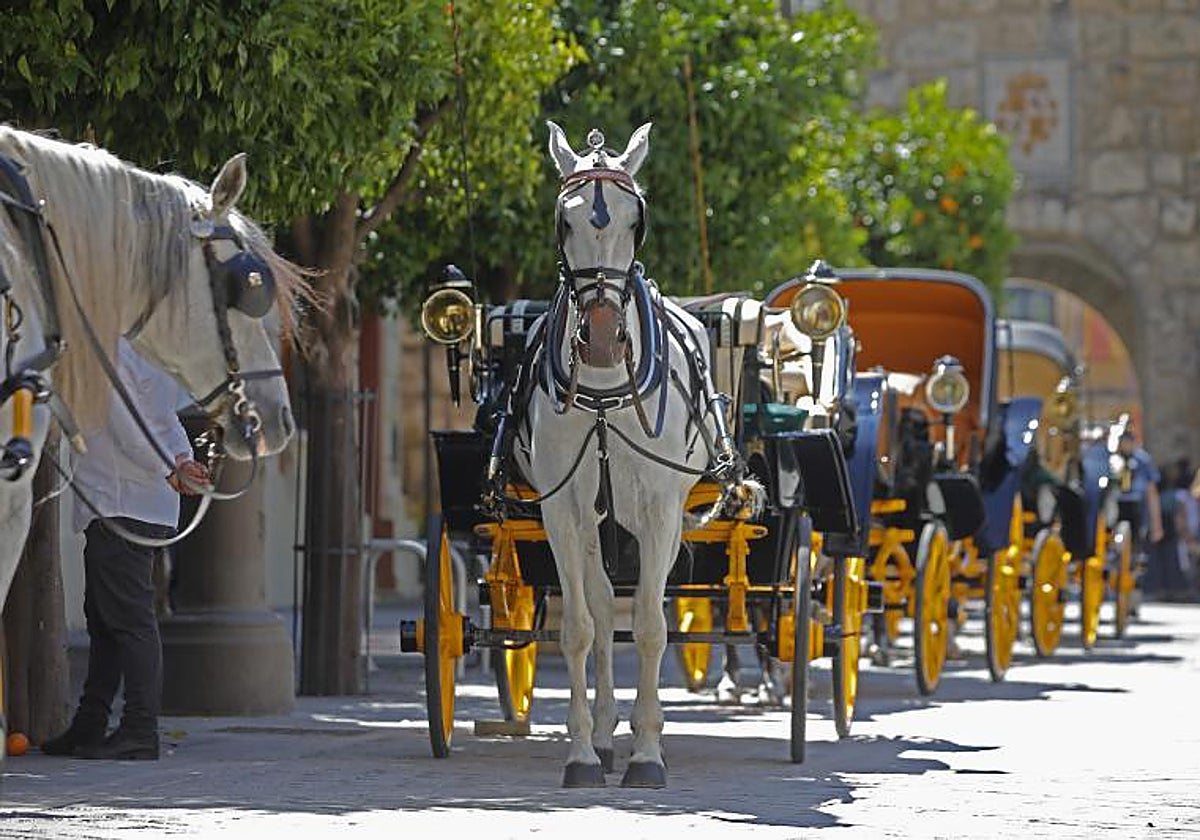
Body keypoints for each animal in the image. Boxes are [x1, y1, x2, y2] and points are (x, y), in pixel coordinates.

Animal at [516, 122, 744, 789]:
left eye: (634, 220)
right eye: (563, 221)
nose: (597, 337)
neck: (602, 393)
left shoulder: (660, 510)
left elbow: (648, 627)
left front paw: (648, 752)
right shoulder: (562, 510)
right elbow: (580, 628)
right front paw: (583, 752)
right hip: (597, 518)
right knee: (597, 604)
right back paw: (603, 731)